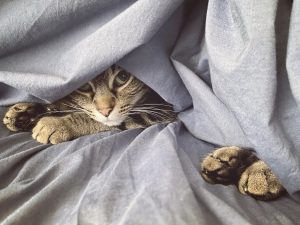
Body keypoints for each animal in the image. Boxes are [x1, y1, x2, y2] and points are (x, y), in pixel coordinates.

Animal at [2, 64, 286, 200]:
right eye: (84, 86)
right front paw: (27, 110)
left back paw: (256, 171)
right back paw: (227, 162)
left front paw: (57, 123)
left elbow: (110, 121)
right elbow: (66, 103)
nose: (105, 107)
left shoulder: (161, 112)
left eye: (122, 78)